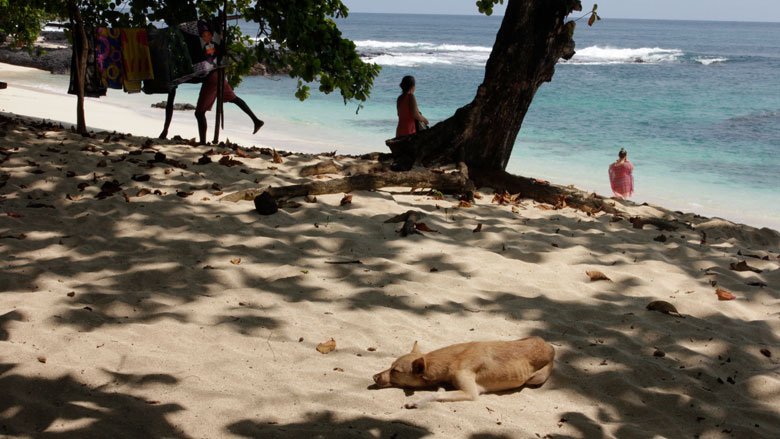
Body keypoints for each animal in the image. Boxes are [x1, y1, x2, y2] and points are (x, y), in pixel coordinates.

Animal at [372, 336, 556, 410]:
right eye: (390, 366)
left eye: (395, 371)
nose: (374, 377)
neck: (452, 359)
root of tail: (549, 346)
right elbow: (440, 391)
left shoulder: (470, 392)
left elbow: (437, 394)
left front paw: (416, 402)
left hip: (535, 378)